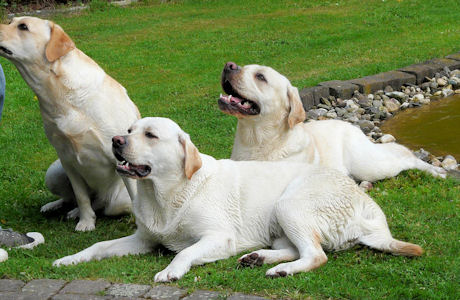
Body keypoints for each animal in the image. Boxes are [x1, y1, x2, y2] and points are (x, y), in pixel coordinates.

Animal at [0, 16, 140, 231]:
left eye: (23, 26)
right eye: (11, 21)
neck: (59, 93)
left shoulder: (122, 159)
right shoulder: (67, 158)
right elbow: (81, 197)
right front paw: (86, 221)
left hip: (117, 199)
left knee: (106, 204)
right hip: (53, 173)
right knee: (77, 199)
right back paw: (59, 207)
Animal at [53, 117, 420, 282]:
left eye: (150, 135)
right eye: (129, 131)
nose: (116, 140)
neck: (165, 194)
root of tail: (368, 209)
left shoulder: (218, 236)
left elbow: (185, 251)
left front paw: (171, 271)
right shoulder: (142, 239)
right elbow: (98, 247)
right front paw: (68, 259)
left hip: (290, 203)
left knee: (315, 255)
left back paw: (281, 269)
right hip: (278, 222)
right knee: (296, 248)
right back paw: (259, 258)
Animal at [218, 62, 446, 182]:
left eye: (260, 77)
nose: (229, 66)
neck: (257, 141)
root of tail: (351, 126)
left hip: (370, 166)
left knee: (407, 159)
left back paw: (436, 171)